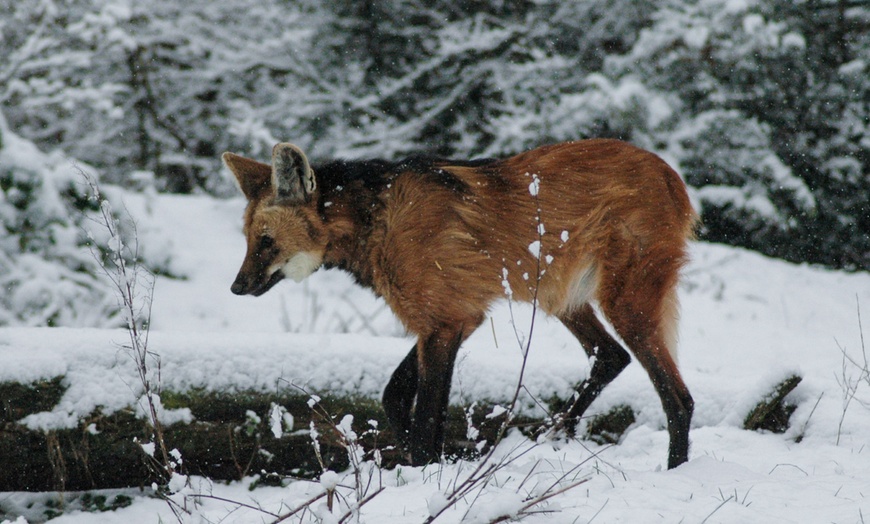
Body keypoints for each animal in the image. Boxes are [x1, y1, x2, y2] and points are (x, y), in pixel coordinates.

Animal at [223, 140, 700, 470]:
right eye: (248, 240)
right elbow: (396, 395)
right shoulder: (448, 319)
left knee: (678, 399)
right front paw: (434, 464)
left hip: (625, 302)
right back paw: (549, 437)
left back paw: (674, 473)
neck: (375, 222)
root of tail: (670, 173)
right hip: (560, 295)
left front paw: (423, 473)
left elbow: (423, 416)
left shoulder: (446, 321)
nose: (236, 287)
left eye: (266, 242)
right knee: (609, 356)